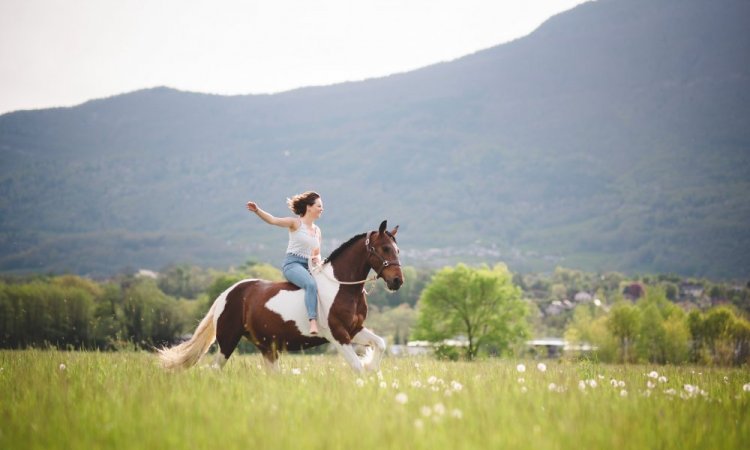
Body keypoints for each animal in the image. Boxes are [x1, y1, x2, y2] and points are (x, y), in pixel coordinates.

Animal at [159, 221, 406, 372]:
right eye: (385, 248)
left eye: (397, 249)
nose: (397, 281)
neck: (341, 287)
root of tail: (225, 295)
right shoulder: (338, 335)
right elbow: (356, 366)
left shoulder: (355, 330)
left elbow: (381, 344)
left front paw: (372, 367)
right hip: (228, 341)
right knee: (215, 369)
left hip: (267, 347)